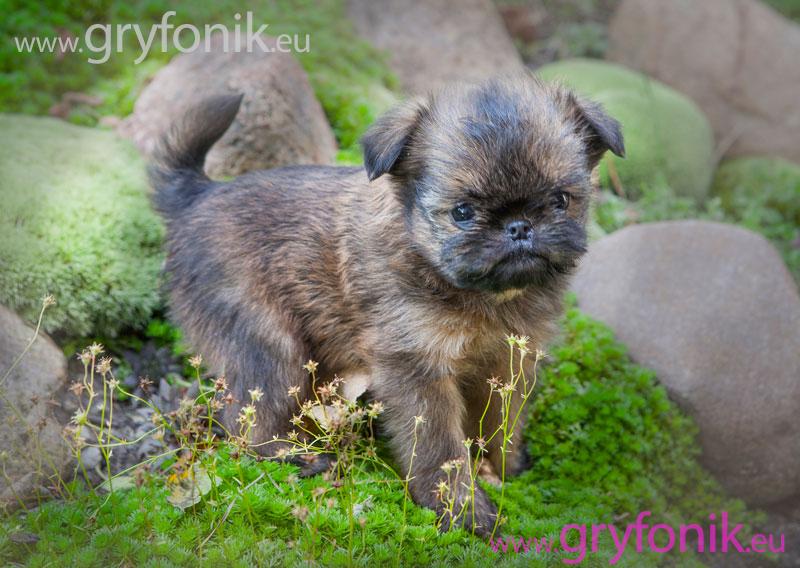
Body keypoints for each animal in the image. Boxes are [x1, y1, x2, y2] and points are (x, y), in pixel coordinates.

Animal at [152, 74, 624, 532]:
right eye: (462, 212)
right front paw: (460, 509)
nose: (519, 226)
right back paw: (297, 457)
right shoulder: (418, 370)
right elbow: (439, 449)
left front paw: (502, 468)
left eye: (561, 200)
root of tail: (198, 196)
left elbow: (501, 423)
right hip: (270, 344)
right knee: (248, 422)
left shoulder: (510, 362)